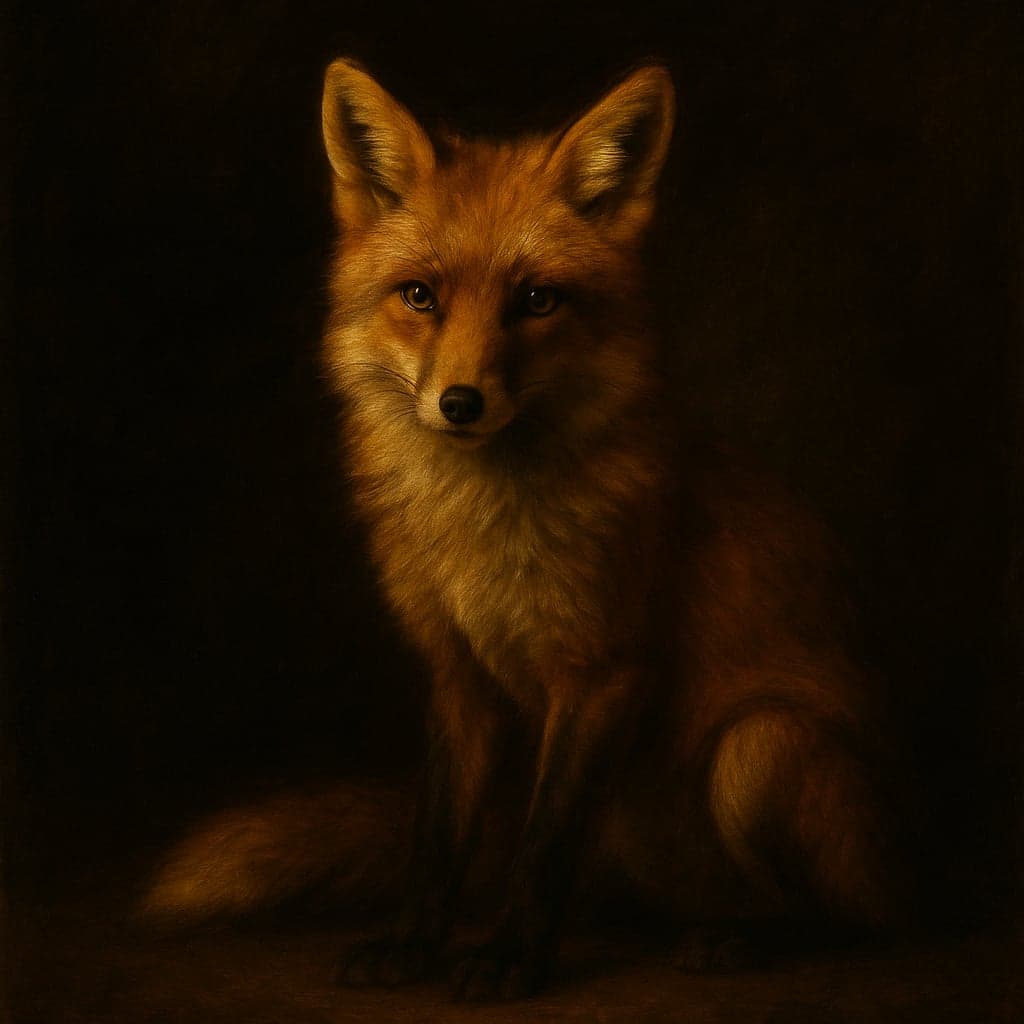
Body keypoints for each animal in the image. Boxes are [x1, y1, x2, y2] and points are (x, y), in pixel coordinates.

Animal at [142, 59, 901, 1001]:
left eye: (537, 300)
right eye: (420, 296)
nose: (460, 403)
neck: (482, 527)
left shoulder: (601, 672)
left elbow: (542, 844)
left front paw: (508, 958)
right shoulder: (457, 675)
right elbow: (438, 837)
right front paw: (415, 945)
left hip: (762, 749)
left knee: (853, 917)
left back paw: (743, 938)